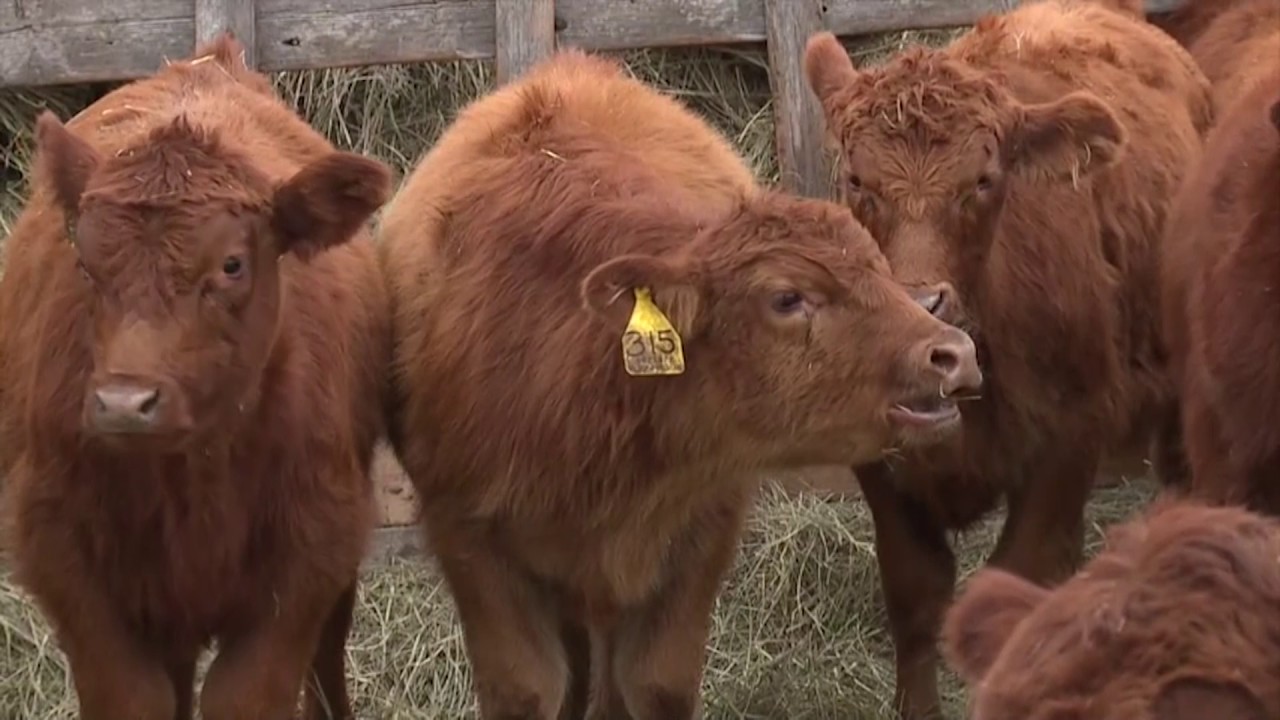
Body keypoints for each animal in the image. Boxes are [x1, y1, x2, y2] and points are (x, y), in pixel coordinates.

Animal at [0, 35, 392, 720]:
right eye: (85, 261)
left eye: (232, 264)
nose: (124, 402)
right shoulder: (64, 557)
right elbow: (134, 697)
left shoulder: (308, 559)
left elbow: (246, 694)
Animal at [378, 48, 984, 720]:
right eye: (787, 297)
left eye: (878, 268)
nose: (952, 353)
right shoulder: (470, 540)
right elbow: (527, 689)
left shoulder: (701, 529)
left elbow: (655, 684)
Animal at [802, 1, 1212, 716]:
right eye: (856, 179)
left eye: (983, 181)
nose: (921, 304)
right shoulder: (880, 464)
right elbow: (916, 600)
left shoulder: (1067, 441)